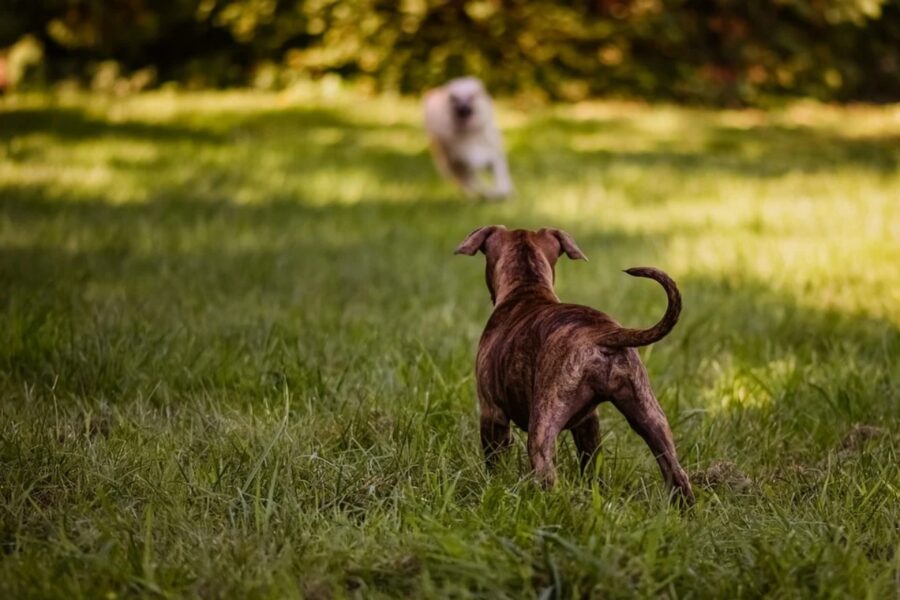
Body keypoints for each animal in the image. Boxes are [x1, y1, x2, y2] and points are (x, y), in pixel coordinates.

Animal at [458, 223, 696, 504]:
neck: (527, 289)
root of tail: (602, 333)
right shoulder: (588, 422)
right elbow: (592, 463)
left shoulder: (491, 412)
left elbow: (493, 461)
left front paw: (492, 486)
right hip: (650, 416)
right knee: (677, 473)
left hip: (542, 426)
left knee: (546, 471)